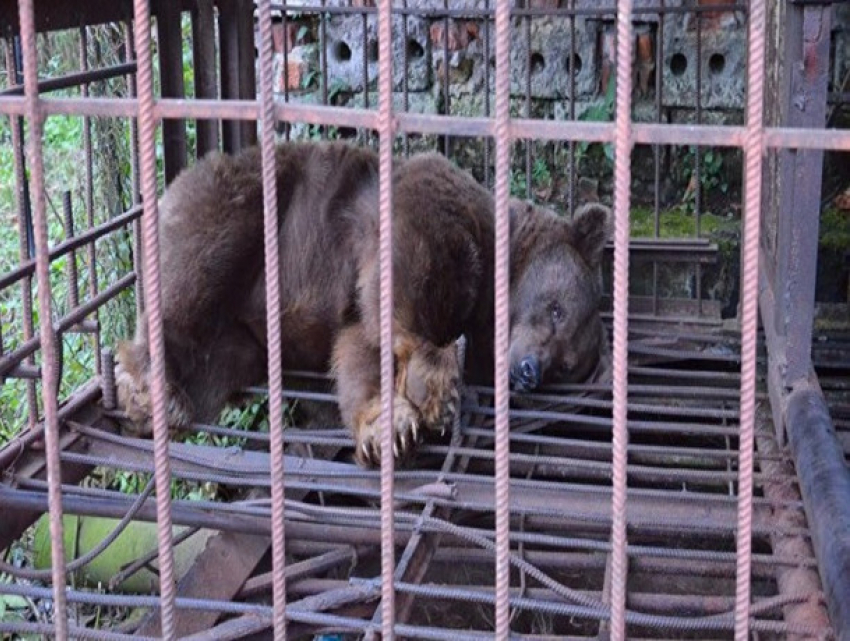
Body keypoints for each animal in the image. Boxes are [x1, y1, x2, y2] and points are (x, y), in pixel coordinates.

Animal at [114, 141, 608, 464]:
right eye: (556, 308)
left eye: (565, 365)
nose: (530, 371)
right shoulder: (433, 209)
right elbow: (410, 276)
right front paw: (436, 386)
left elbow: (357, 353)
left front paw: (389, 427)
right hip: (244, 203)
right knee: (202, 263)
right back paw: (151, 381)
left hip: (245, 340)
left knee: (216, 366)